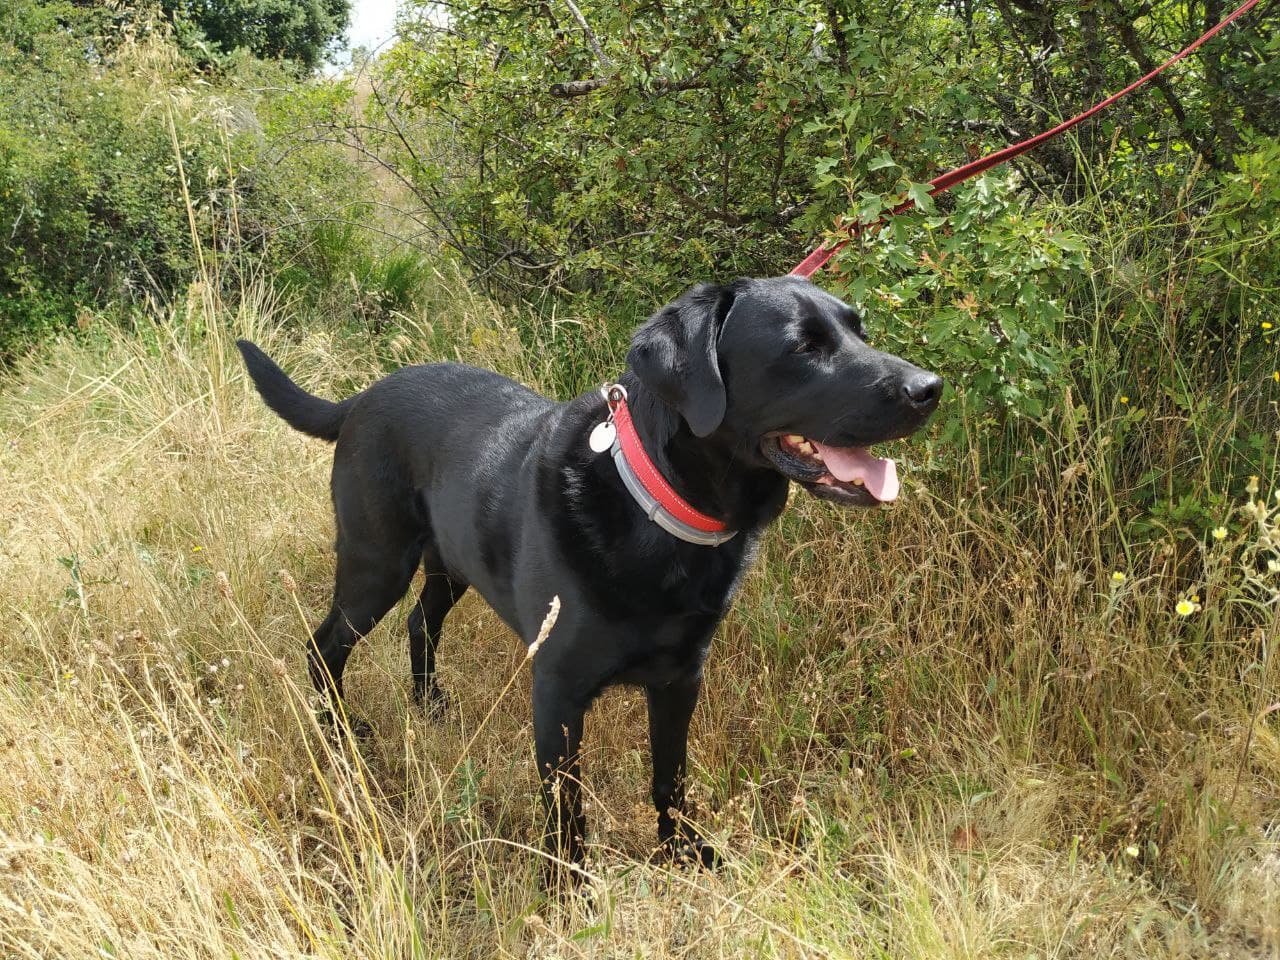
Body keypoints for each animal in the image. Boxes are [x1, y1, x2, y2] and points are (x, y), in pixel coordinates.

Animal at [240, 276, 942, 870]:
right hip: (376, 563)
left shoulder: (681, 680)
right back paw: (339, 736)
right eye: (804, 347)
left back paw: (428, 705)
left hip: (452, 564)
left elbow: (669, 778)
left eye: (859, 329)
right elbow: (566, 810)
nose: (930, 387)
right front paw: (570, 890)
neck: (657, 506)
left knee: (420, 621)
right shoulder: (556, 689)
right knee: (325, 645)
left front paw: (686, 854)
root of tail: (360, 399)